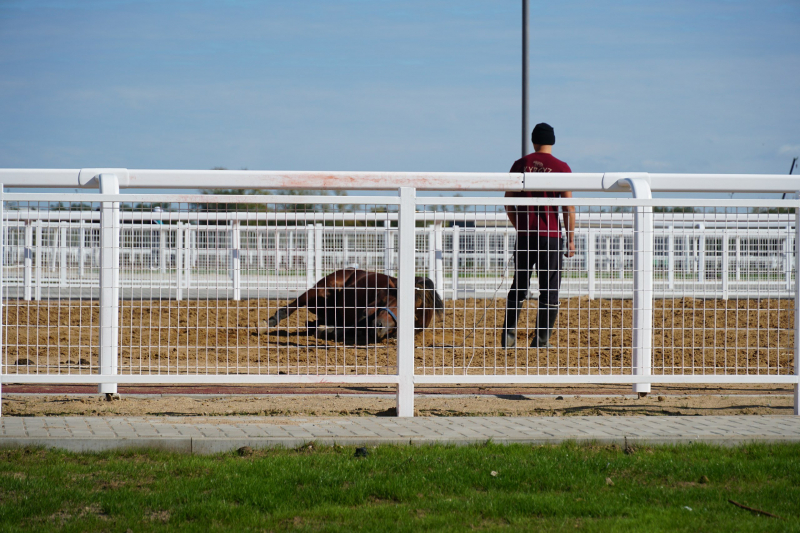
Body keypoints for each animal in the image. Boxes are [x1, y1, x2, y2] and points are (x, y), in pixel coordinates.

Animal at [260, 268, 444, 342]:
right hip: (320, 291)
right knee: (292, 306)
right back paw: (269, 322)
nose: (379, 326)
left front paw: (327, 330)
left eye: (412, 314)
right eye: (394, 300)